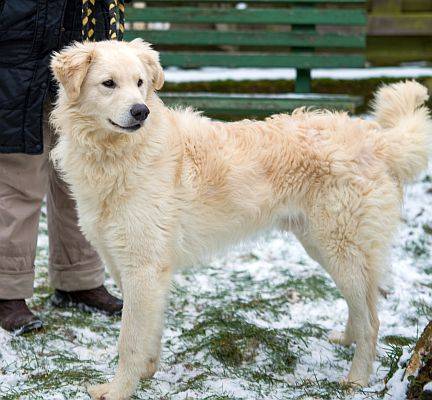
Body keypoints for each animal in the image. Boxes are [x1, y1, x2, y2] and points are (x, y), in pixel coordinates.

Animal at [50, 38, 432, 400]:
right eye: (108, 83)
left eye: (140, 83)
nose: (140, 111)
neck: (118, 154)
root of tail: (377, 139)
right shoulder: (132, 266)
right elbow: (149, 331)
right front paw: (147, 371)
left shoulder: (142, 268)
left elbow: (128, 340)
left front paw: (117, 391)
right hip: (325, 247)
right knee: (366, 305)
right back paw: (347, 339)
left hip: (340, 249)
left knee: (373, 321)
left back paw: (356, 379)